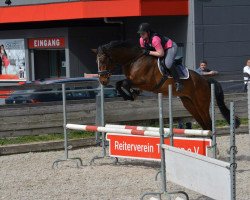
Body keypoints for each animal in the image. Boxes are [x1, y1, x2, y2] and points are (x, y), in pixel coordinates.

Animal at [94, 41, 240, 131]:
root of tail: (205, 80)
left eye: (103, 60)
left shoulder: (147, 83)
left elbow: (123, 83)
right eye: (97, 61)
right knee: (204, 125)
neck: (135, 59)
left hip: (201, 104)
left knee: (208, 124)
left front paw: (130, 95)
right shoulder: (133, 81)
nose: (103, 80)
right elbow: (119, 83)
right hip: (190, 104)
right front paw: (129, 95)